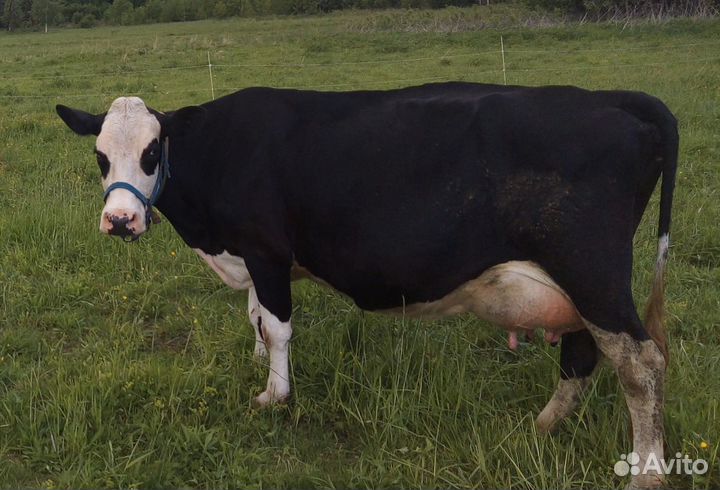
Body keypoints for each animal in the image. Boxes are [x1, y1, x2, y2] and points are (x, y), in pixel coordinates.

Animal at [56, 82, 677, 490]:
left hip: (592, 272)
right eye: (100, 155)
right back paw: (543, 426)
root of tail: (611, 97)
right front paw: (257, 361)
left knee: (641, 363)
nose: (119, 221)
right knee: (583, 353)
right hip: (578, 288)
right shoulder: (259, 260)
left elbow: (278, 327)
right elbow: (255, 315)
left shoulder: (266, 251)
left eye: (151, 152)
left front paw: (274, 395)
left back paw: (645, 473)